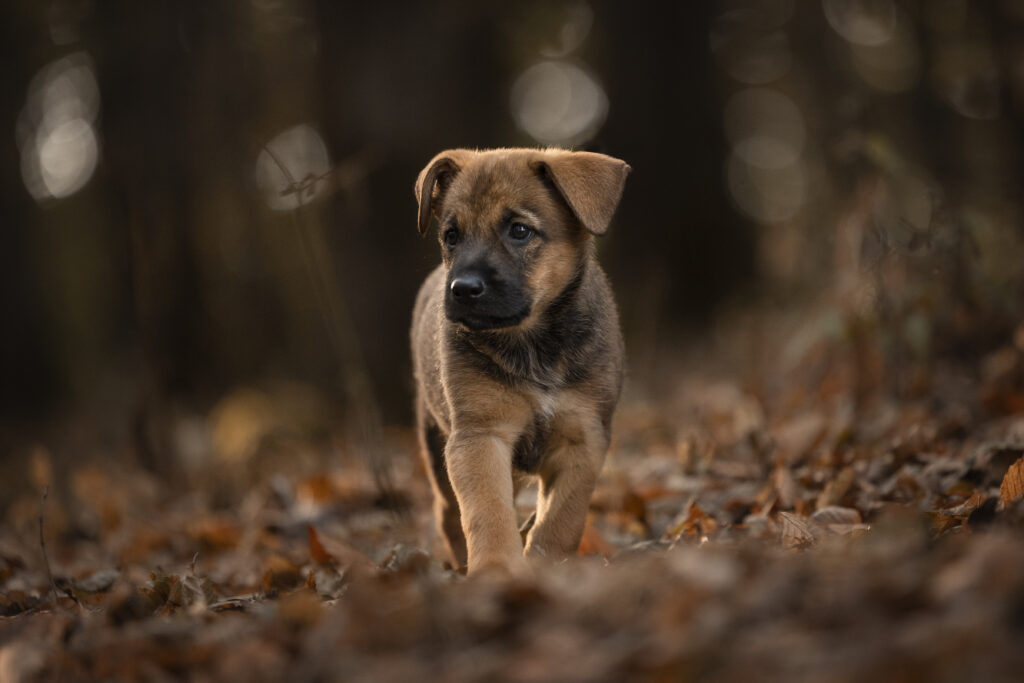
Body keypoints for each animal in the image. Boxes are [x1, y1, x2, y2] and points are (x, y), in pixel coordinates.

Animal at [411, 149, 626, 577]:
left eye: (520, 230)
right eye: (451, 235)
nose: (463, 289)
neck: (530, 343)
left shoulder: (583, 439)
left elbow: (561, 520)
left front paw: (545, 566)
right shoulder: (481, 435)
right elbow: (487, 512)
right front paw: (495, 568)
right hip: (434, 441)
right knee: (448, 514)